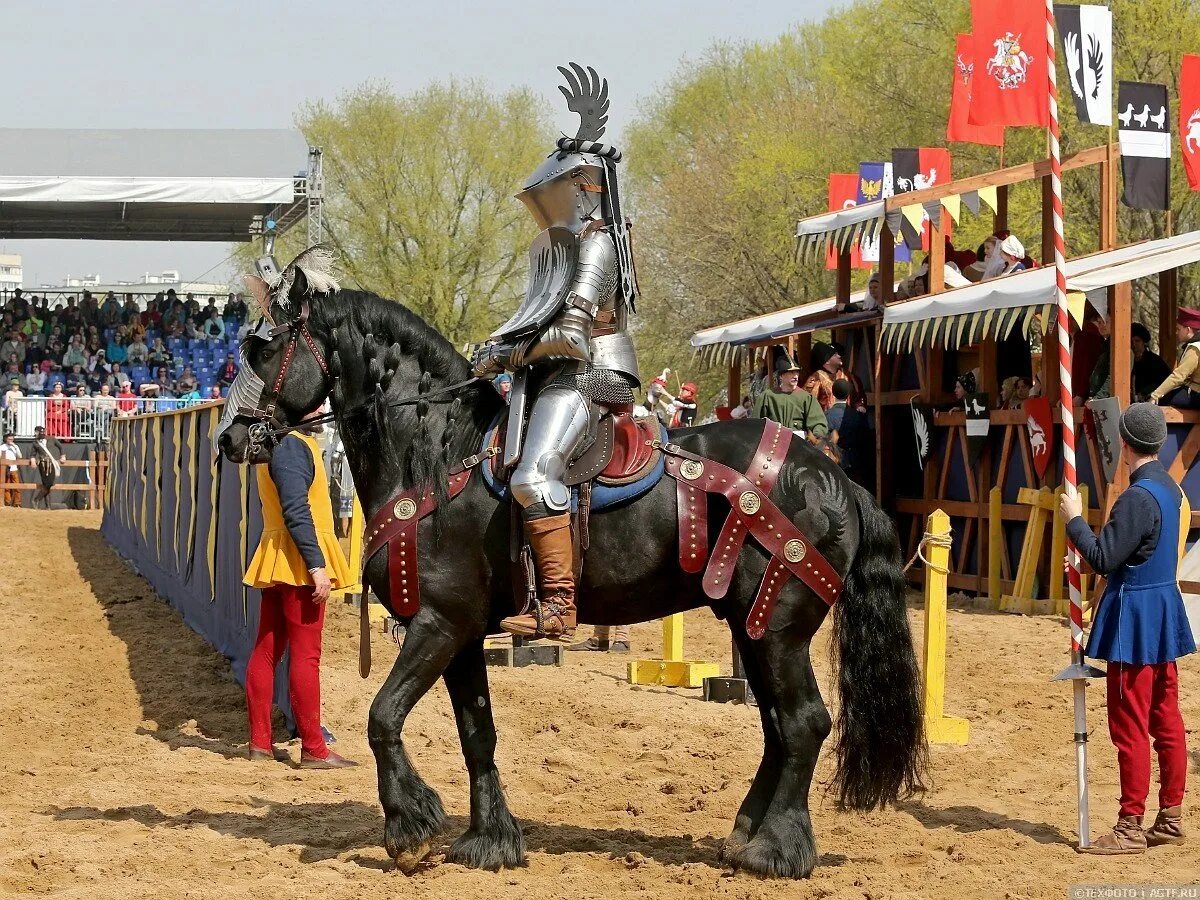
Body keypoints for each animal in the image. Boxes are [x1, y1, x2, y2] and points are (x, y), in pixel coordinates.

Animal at [218, 259, 926, 883]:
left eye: (263, 347)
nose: (228, 438)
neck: (436, 450)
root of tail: (834, 477)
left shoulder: (438, 624)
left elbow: (382, 717)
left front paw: (410, 830)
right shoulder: (462, 636)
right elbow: (478, 734)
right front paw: (490, 841)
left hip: (777, 629)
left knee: (804, 722)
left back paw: (778, 850)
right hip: (751, 629)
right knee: (778, 727)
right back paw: (749, 835)